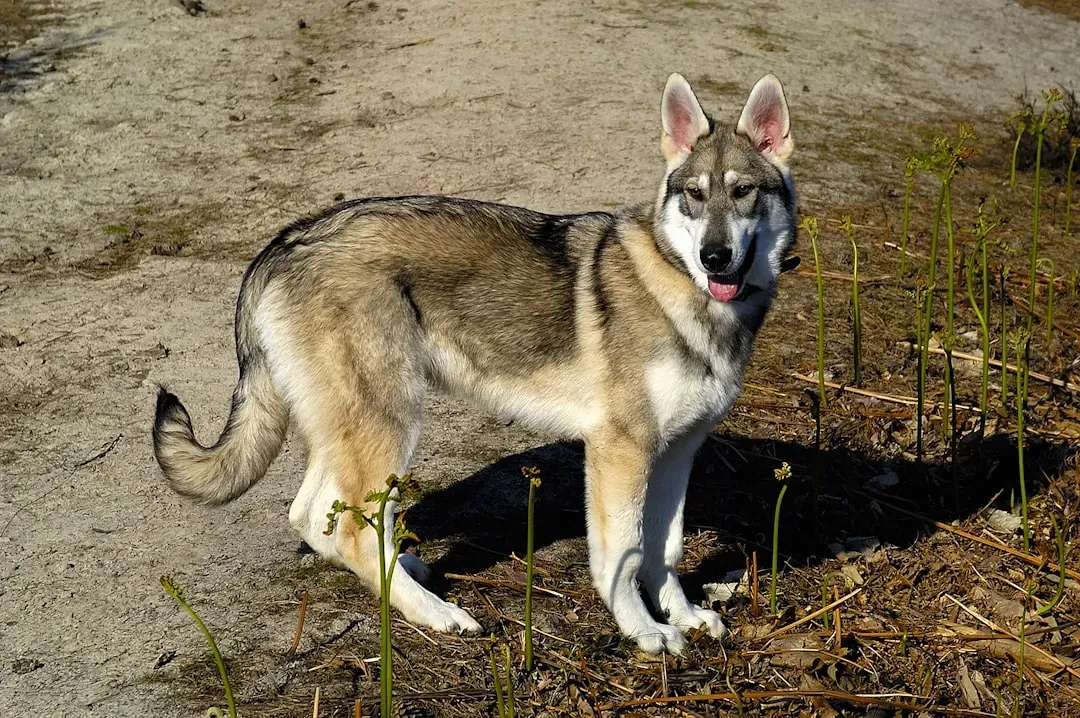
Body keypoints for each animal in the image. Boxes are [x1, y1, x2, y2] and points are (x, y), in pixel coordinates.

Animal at [152, 73, 797, 654]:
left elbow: (664, 550)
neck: (684, 289)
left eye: (743, 192)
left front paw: (685, 617)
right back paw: (439, 615)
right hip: (392, 428)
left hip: (350, 435)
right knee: (355, 532)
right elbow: (624, 557)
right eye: (695, 195)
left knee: (316, 519)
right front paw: (644, 632)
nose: (715, 257)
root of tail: (284, 241)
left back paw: (408, 574)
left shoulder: (677, 452)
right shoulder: (622, 451)